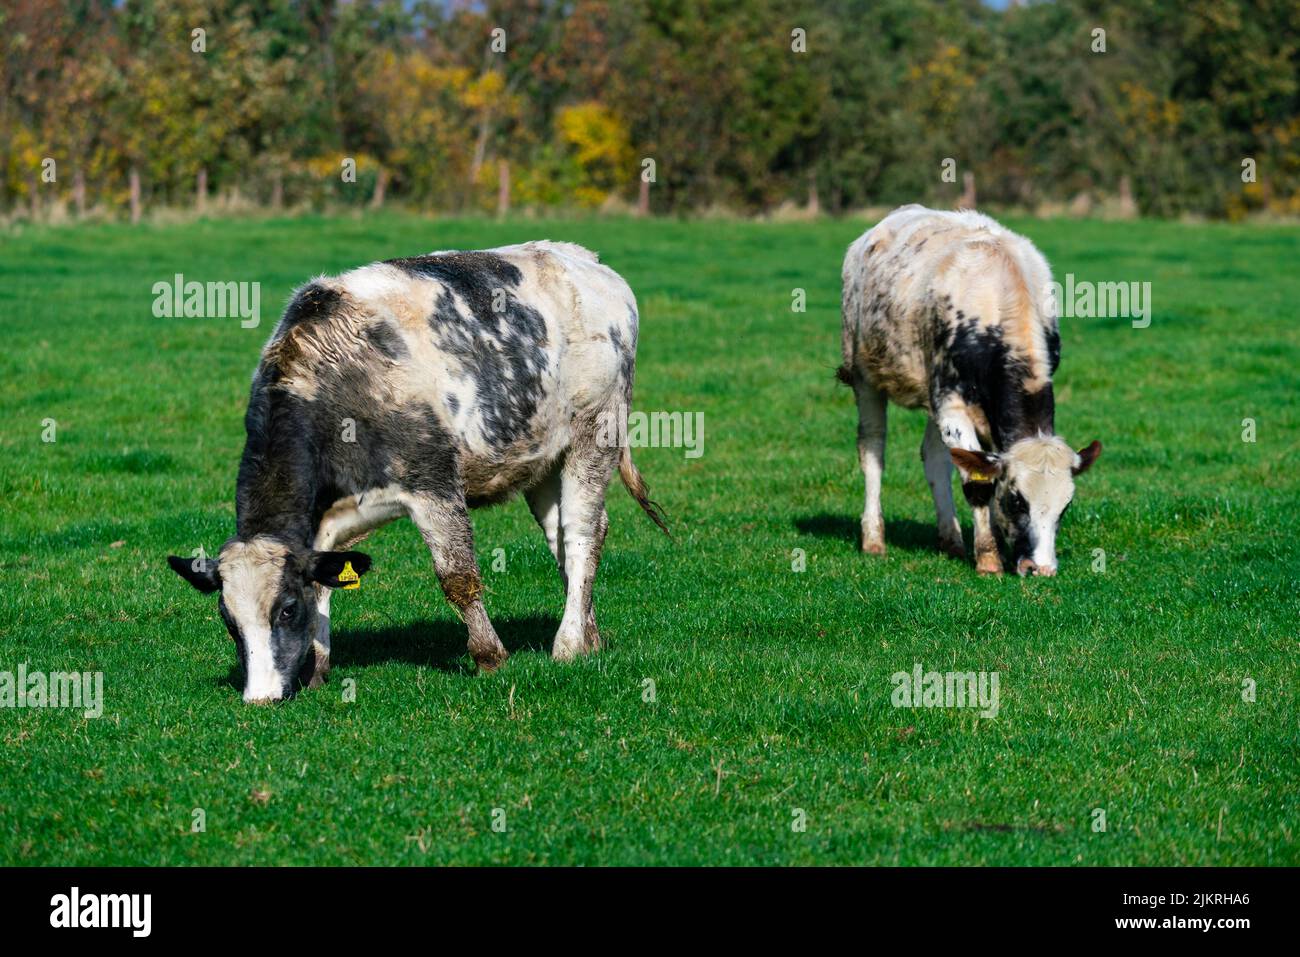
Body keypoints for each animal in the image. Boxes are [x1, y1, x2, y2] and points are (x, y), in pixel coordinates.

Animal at [168, 241, 667, 703]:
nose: (261, 697)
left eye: (286, 610)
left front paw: (489, 657)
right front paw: (318, 669)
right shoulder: (334, 513)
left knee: (583, 534)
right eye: (228, 621)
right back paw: (588, 634)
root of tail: (585, 259)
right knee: (560, 535)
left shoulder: (434, 483)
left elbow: (457, 576)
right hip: (542, 457)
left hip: (596, 431)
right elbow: (327, 584)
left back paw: (567, 644)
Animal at [838, 206, 1101, 576]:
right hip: (866, 375)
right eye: (1018, 500)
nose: (1041, 569)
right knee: (873, 451)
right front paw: (989, 559)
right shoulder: (951, 405)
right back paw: (874, 540)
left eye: (1065, 506)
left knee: (935, 458)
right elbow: (978, 484)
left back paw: (951, 540)